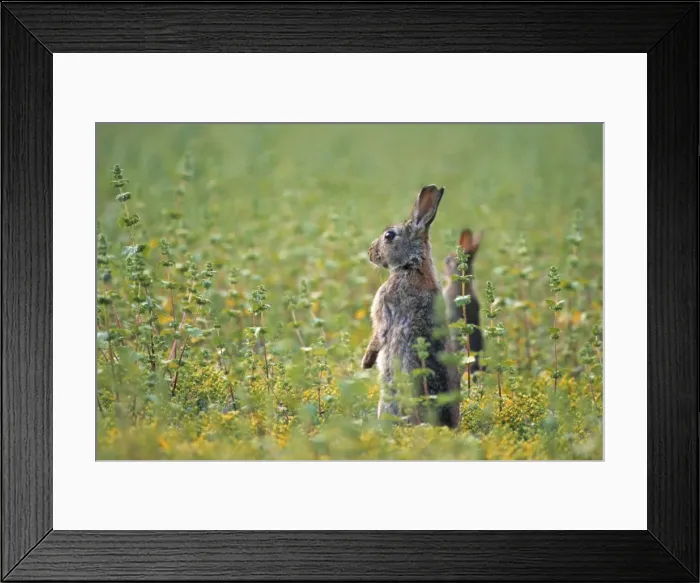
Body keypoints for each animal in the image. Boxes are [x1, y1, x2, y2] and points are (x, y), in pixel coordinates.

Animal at [361, 184, 460, 428]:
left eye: (389, 235)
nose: (370, 253)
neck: (412, 265)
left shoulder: (384, 309)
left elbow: (378, 334)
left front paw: (366, 363)